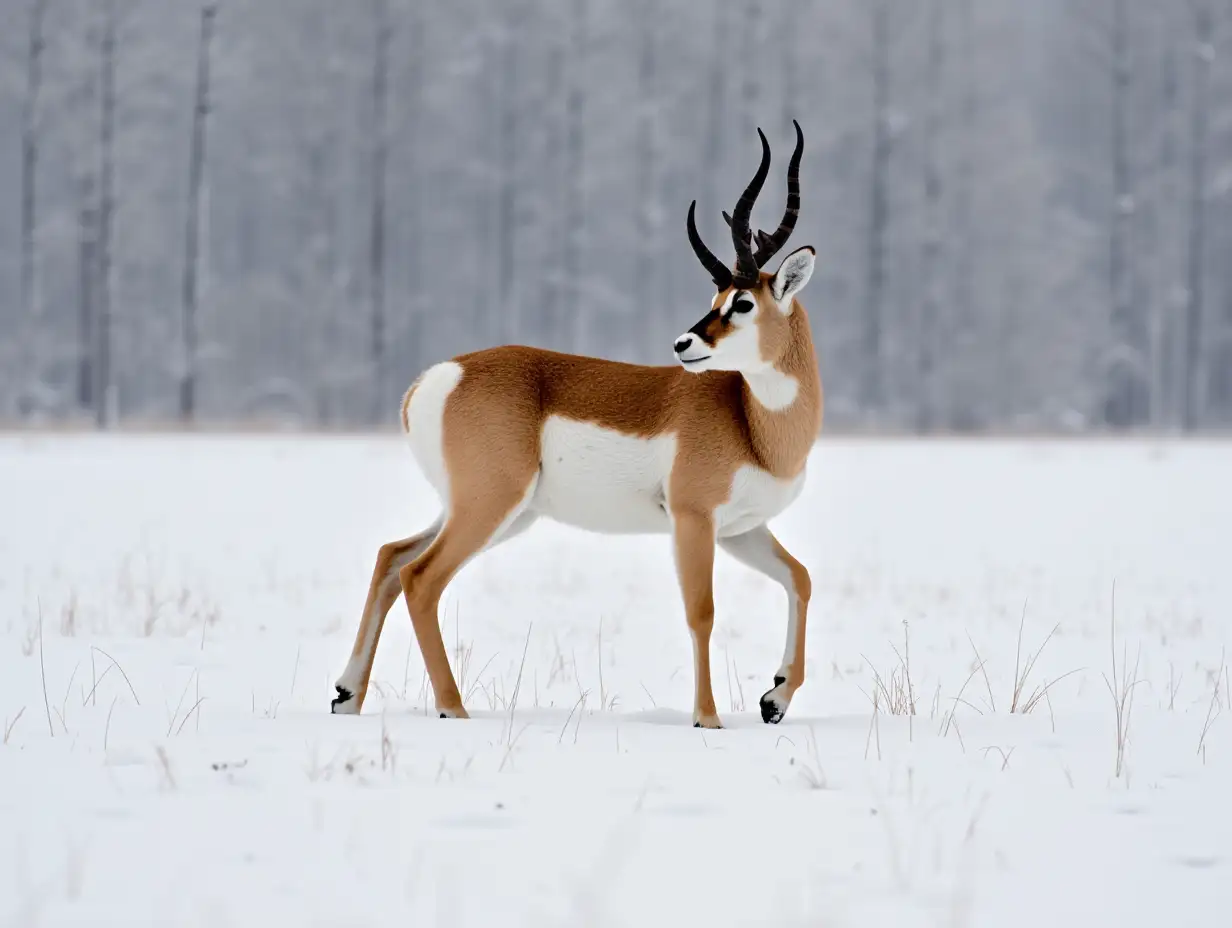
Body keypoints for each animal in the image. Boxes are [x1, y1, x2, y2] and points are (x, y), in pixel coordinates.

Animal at [332, 123, 822, 729]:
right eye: (716, 297)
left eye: (743, 303)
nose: (683, 344)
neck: (751, 422)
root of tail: (433, 380)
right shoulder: (693, 519)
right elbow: (702, 611)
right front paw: (708, 719)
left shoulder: (740, 528)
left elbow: (800, 577)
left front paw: (774, 699)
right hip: (489, 505)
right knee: (420, 578)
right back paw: (453, 708)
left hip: (493, 511)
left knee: (391, 557)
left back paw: (347, 696)